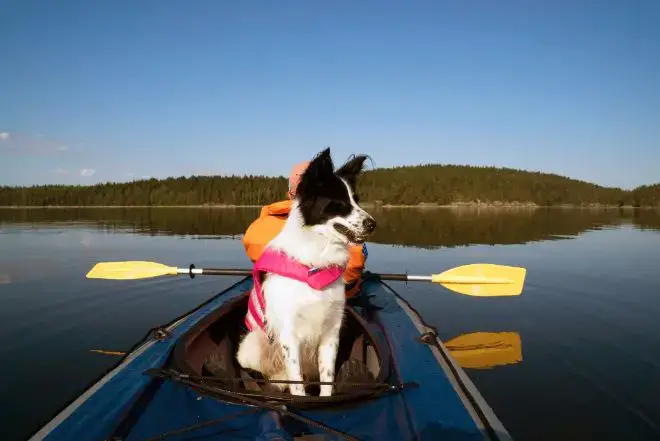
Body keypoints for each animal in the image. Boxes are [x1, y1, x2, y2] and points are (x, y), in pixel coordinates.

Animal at [236, 147, 376, 396]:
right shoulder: (289, 336)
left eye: (356, 200)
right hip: (252, 343)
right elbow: (297, 383)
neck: (314, 264)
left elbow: (327, 377)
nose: (373, 224)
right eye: (339, 203)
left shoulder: (331, 331)